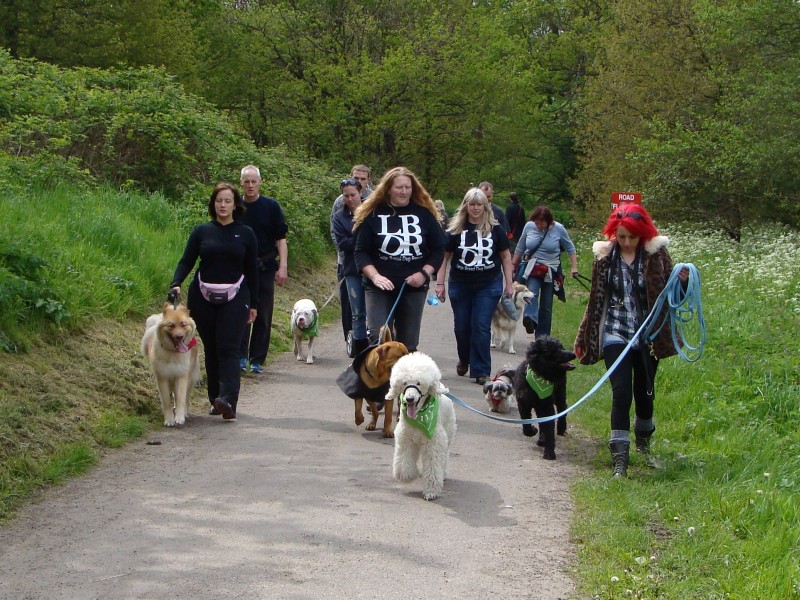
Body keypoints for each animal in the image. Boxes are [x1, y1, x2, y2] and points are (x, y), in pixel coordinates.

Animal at [388, 352, 456, 502]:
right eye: (404, 383)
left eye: (419, 383)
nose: (409, 399)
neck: (419, 417)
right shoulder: (406, 440)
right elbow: (403, 467)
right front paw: (411, 474)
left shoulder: (433, 443)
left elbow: (433, 466)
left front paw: (431, 492)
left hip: (448, 433)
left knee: (445, 456)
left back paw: (443, 473)